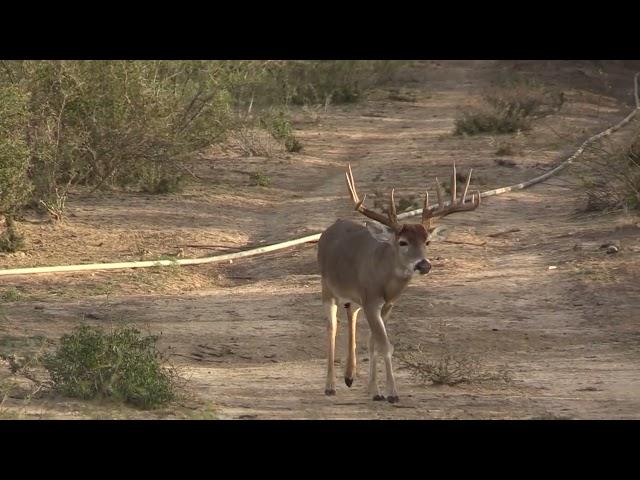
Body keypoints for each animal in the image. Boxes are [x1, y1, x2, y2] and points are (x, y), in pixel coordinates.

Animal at [318, 163, 482, 404]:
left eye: (427, 242)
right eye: (403, 242)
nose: (424, 265)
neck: (384, 280)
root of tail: (328, 230)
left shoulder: (386, 304)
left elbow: (375, 344)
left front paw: (375, 391)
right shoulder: (371, 301)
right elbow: (385, 345)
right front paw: (393, 393)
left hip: (355, 297)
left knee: (351, 314)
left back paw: (350, 376)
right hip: (327, 287)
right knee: (331, 327)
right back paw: (330, 386)